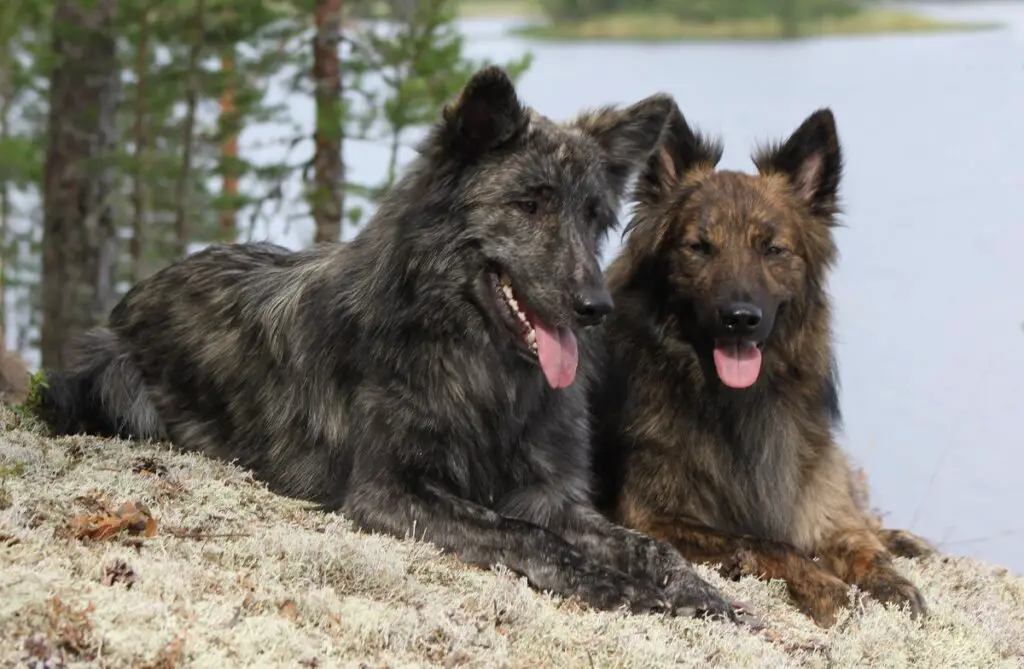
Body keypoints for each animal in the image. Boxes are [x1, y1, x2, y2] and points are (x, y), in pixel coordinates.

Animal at [593, 102, 937, 626]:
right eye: (699, 247)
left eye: (772, 249)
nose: (740, 319)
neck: (736, 403)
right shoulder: (650, 517)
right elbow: (764, 542)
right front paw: (826, 588)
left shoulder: (812, 493)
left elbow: (857, 541)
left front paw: (891, 581)